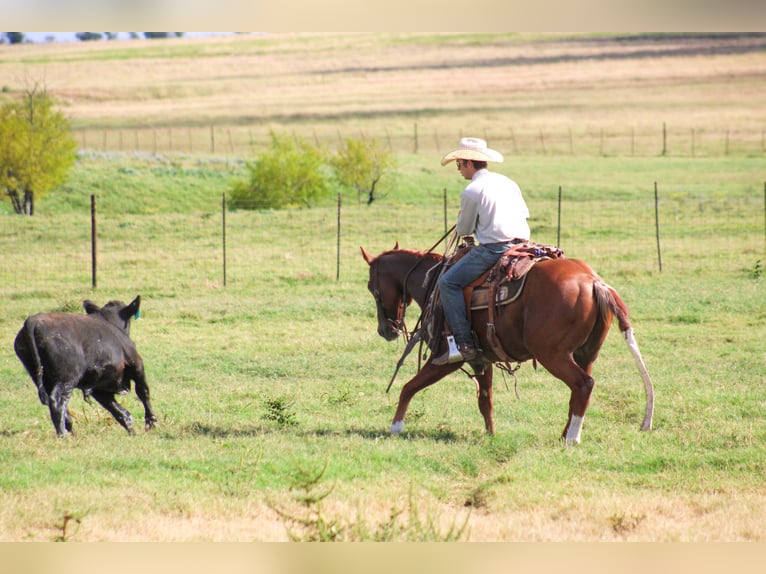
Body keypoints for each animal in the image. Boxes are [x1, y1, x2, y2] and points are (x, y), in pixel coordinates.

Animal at [360, 244, 654, 444]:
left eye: (373, 288)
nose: (385, 330)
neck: (434, 282)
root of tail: (594, 282)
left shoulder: (445, 360)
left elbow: (408, 388)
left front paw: (395, 427)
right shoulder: (481, 359)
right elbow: (485, 400)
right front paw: (491, 434)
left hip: (552, 355)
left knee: (583, 385)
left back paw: (572, 437)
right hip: (585, 354)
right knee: (578, 389)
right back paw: (564, 434)